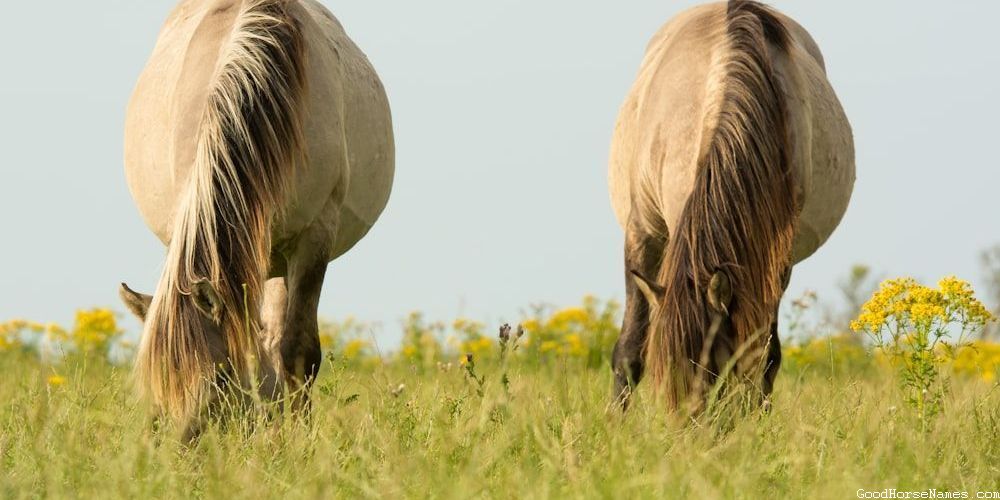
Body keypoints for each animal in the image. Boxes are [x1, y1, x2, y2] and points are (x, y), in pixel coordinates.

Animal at [118, 0, 394, 436]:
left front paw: (295, 438)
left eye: (218, 378)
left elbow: (297, 350)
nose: (181, 448)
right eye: (157, 387)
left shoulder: (314, 237)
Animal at [608, 1, 854, 411]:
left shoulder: (771, 259)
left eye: (713, 366)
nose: (689, 424)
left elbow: (759, 357)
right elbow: (628, 351)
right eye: (664, 371)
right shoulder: (643, 233)